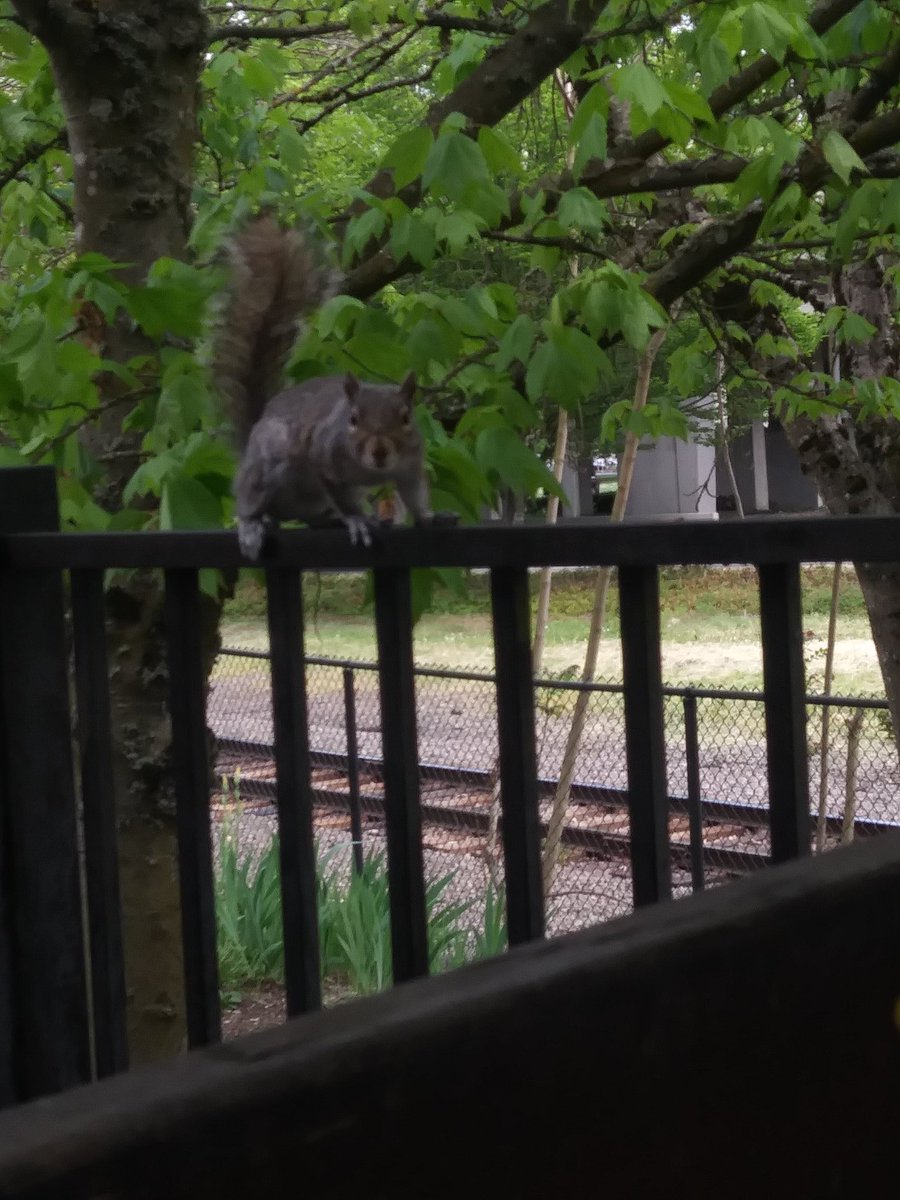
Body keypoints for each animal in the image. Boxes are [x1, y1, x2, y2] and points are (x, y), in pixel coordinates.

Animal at [213, 213, 433, 559]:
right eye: (352, 419)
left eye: (405, 418)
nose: (380, 451)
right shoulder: (324, 455)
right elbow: (342, 494)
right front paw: (356, 520)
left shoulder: (410, 464)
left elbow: (413, 493)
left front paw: (426, 516)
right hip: (267, 463)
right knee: (251, 500)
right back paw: (252, 525)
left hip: (308, 500)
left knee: (309, 515)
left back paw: (330, 520)